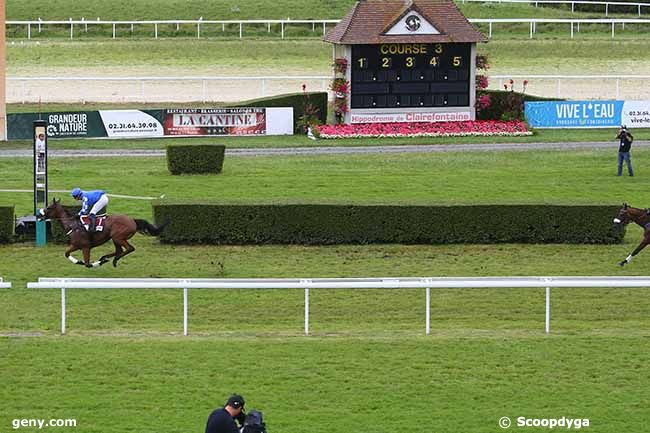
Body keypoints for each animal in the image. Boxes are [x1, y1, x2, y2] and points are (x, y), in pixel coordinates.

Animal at [39, 198, 168, 266]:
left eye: (49, 208)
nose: (39, 215)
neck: (73, 225)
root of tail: (132, 220)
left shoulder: (85, 246)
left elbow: (87, 264)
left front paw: (95, 262)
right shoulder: (76, 245)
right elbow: (66, 253)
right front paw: (79, 261)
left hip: (118, 237)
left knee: (129, 248)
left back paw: (112, 260)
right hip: (115, 238)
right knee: (119, 250)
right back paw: (106, 258)